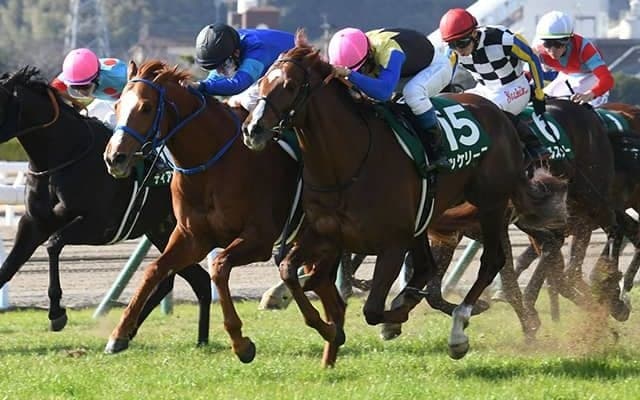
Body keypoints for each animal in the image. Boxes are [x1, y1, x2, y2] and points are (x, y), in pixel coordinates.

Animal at [0, 66, 211, 345]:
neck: (65, 156)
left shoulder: (101, 226)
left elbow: (53, 244)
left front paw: (57, 313)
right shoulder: (34, 223)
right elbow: (7, 269)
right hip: (163, 230)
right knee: (192, 280)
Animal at [102, 60, 304, 363]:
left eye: (146, 107)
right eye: (116, 106)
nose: (114, 158)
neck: (211, 166)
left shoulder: (260, 239)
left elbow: (219, 267)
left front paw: (241, 343)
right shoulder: (192, 237)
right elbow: (154, 270)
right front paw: (118, 335)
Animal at [241, 32, 568, 365]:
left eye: (290, 86)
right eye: (263, 82)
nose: (251, 130)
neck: (347, 163)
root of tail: (501, 115)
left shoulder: (393, 243)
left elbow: (372, 309)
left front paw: (393, 317)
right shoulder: (324, 233)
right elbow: (290, 271)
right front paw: (328, 327)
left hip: (490, 204)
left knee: (491, 261)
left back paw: (458, 330)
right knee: (428, 267)